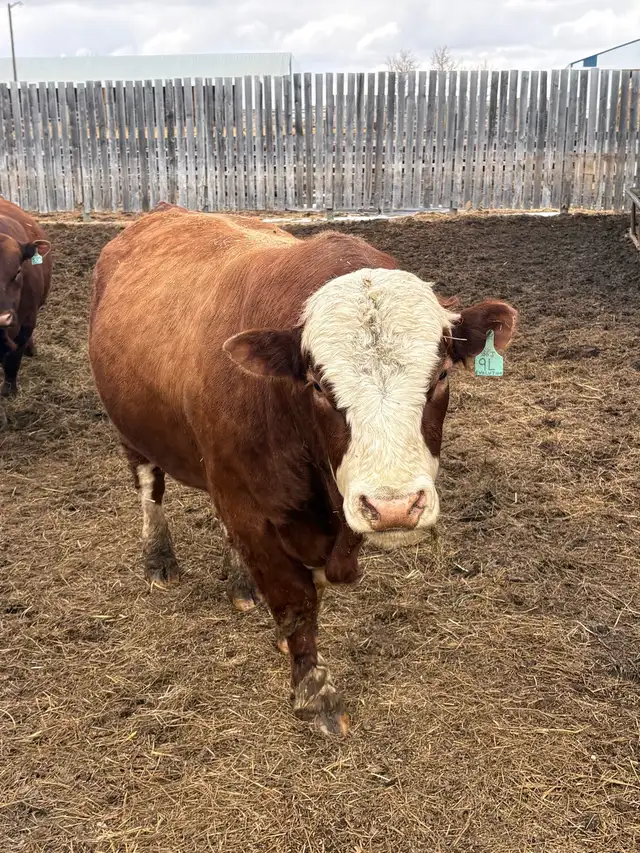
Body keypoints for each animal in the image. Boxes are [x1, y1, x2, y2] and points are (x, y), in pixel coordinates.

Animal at [88, 204, 517, 735]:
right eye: (316, 385)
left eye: (440, 376)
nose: (394, 507)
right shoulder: (250, 509)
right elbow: (297, 603)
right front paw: (315, 692)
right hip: (132, 430)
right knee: (149, 486)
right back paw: (158, 558)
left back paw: (240, 582)